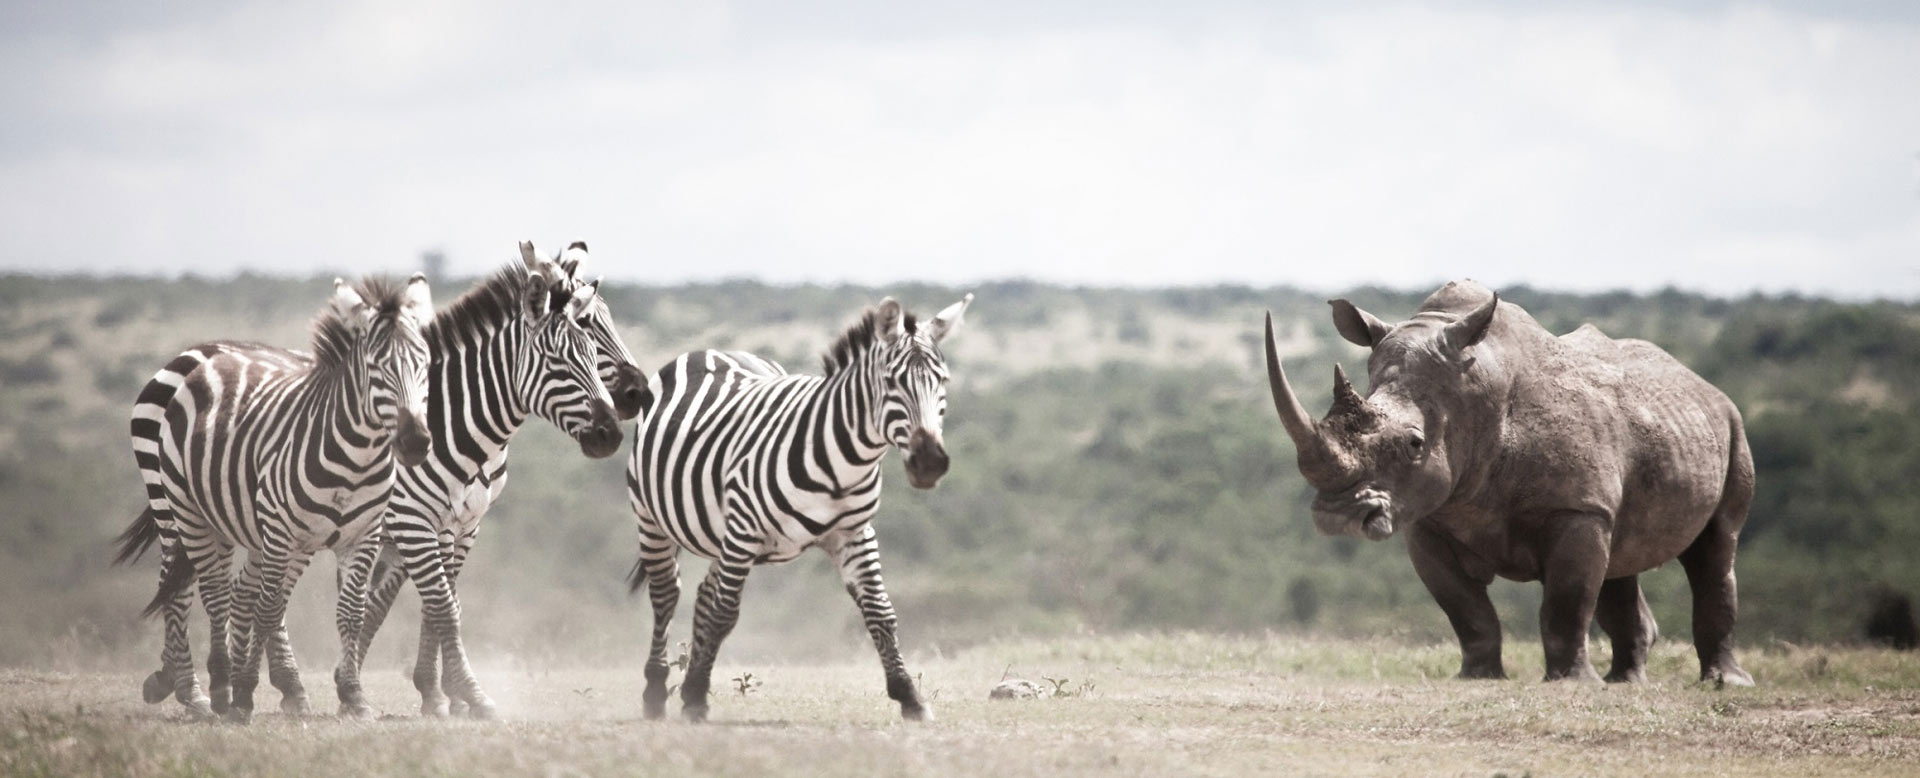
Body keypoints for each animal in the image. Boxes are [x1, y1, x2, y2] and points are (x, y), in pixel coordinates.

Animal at [116, 274, 439, 722]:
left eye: (425, 364)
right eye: (377, 368)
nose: (415, 442)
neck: (356, 458)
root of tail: (206, 358)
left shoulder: (363, 536)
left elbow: (351, 613)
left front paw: (354, 697)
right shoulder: (281, 530)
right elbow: (267, 610)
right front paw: (245, 695)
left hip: (238, 523)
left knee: (229, 591)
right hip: (183, 510)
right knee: (203, 593)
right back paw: (211, 690)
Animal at [326, 241, 633, 714]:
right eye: (559, 360)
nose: (612, 432)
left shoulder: (462, 524)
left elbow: (443, 606)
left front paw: (443, 693)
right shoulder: (412, 521)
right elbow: (440, 607)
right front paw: (467, 693)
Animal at [625, 291, 975, 722]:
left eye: (942, 381)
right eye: (892, 382)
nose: (930, 463)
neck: (844, 461)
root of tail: (710, 350)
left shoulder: (855, 533)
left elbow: (881, 611)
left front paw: (909, 696)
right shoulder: (744, 528)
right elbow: (725, 613)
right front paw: (693, 698)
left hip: (723, 537)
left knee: (704, 593)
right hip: (653, 517)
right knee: (666, 595)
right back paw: (656, 691)